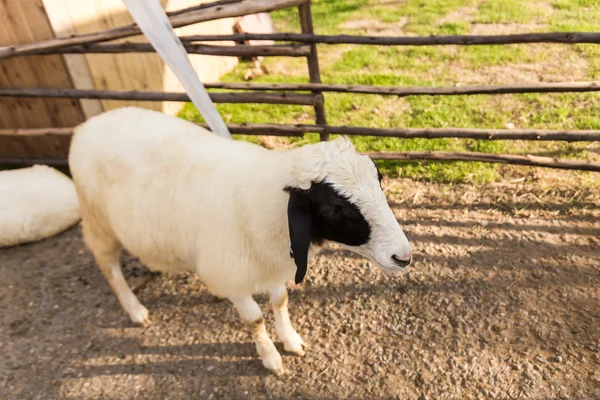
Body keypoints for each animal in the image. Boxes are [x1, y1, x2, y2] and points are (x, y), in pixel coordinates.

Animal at [67, 105, 412, 376]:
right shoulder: (228, 274)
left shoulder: (274, 263)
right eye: (334, 208)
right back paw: (134, 309)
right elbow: (255, 319)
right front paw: (271, 358)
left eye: (379, 182)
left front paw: (291, 340)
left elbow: (280, 301)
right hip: (98, 221)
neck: (265, 205)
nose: (404, 257)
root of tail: (88, 125)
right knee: (108, 266)